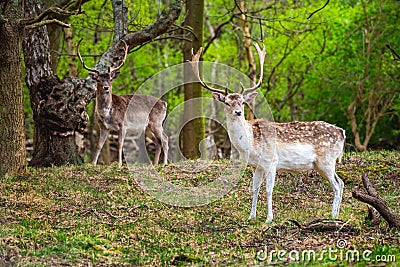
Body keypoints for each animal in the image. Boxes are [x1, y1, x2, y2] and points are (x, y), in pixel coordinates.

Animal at [190, 45, 344, 223]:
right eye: (227, 102)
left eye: (243, 102)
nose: (238, 112)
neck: (250, 145)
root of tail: (342, 132)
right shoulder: (257, 166)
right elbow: (254, 188)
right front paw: (251, 216)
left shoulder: (272, 161)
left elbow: (269, 189)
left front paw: (269, 218)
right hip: (320, 165)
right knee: (341, 182)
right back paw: (336, 214)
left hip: (327, 160)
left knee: (337, 185)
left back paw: (332, 215)